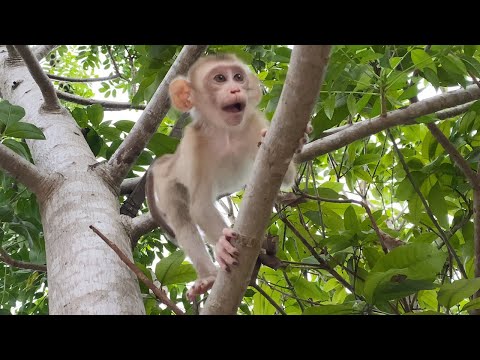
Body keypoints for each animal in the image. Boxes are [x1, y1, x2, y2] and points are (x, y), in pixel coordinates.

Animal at [146, 54, 312, 300]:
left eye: (238, 77)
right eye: (220, 78)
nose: (235, 89)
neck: (227, 134)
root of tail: (167, 161)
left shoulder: (254, 122)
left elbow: (285, 177)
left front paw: (298, 139)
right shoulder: (195, 144)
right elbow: (200, 206)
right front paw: (223, 245)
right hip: (168, 181)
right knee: (180, 214)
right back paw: (207, 277)